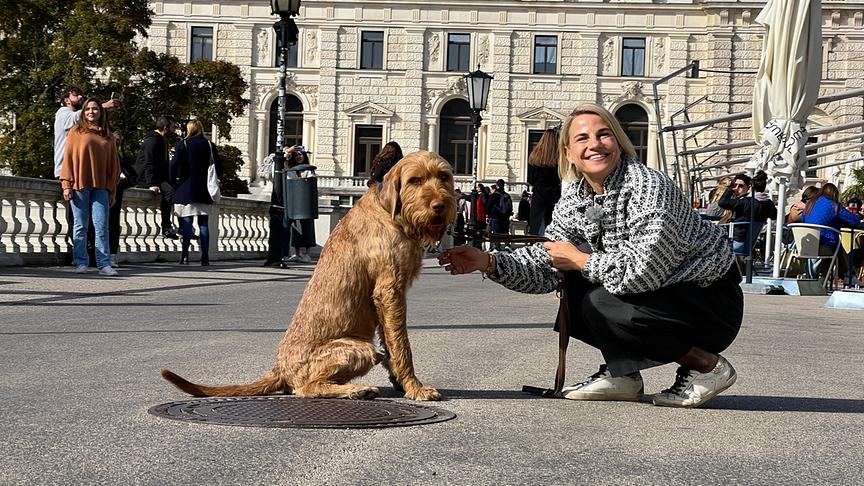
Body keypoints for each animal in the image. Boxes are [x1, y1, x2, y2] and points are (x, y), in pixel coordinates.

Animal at [162, 150, 460, 400]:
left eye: (443, 177)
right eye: (414, 180)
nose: (440, 205)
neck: (391, 213)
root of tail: (279, 369)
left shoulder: (387, 300)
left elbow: (391, 344)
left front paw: (401, 382)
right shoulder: (390, 291)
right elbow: (402, 346)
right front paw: (415, 388)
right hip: (360, 348)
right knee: (306, 388)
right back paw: (356, 389)